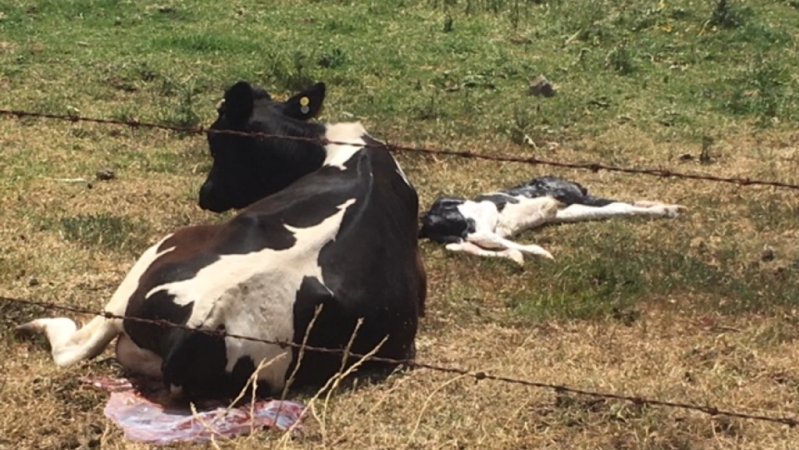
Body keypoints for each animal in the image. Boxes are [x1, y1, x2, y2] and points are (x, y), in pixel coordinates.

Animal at [418, 175, 680, 266]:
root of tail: (427, 220)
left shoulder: (569, 208)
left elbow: (616, 208)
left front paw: (668, 208)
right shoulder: (572, 200)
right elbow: (619, 205)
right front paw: (669, 209)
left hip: (465, 232)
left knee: (460, 246)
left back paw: (516, 257)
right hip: (480, 220)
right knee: (482, 238)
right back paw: (539, 253)